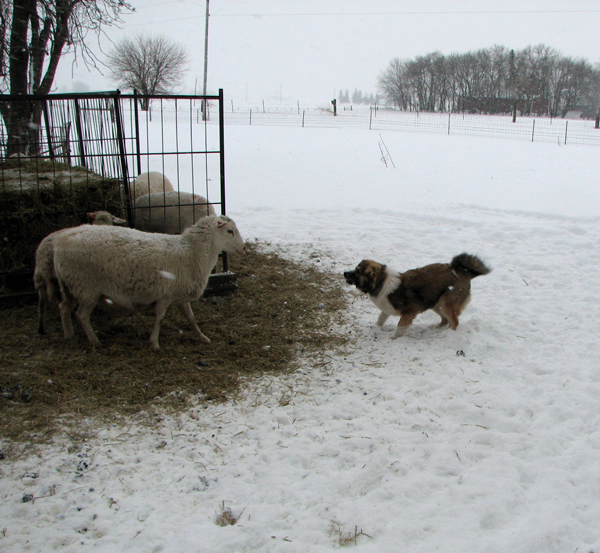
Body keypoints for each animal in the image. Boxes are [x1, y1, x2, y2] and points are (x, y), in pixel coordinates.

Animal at [51, 215, 244, 350]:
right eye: (230, 231)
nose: (243, 248)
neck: (192, 252)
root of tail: (60, 243)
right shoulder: (165, 296)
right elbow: (159, 318)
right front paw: (154, 343)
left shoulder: (180, 296)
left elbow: (191, 318)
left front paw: (202, 337)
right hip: (87, 288)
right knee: (82, 315)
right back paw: (95, 341)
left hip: (70, 286)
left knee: (64, 307)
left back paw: (69, 336)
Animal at [344, 253, 490, 336]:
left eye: (358, 271)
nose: (345, 273)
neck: (381, 282)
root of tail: (464, 272)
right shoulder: (387, 308)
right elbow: (380, 319)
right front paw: (375, 328)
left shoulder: (409, 312)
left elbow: (400, 327)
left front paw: (394, 339)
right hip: (434, 302)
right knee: (445, 319)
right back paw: (436, 329)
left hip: (446, 302)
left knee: (454, 322)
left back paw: (448, 335)